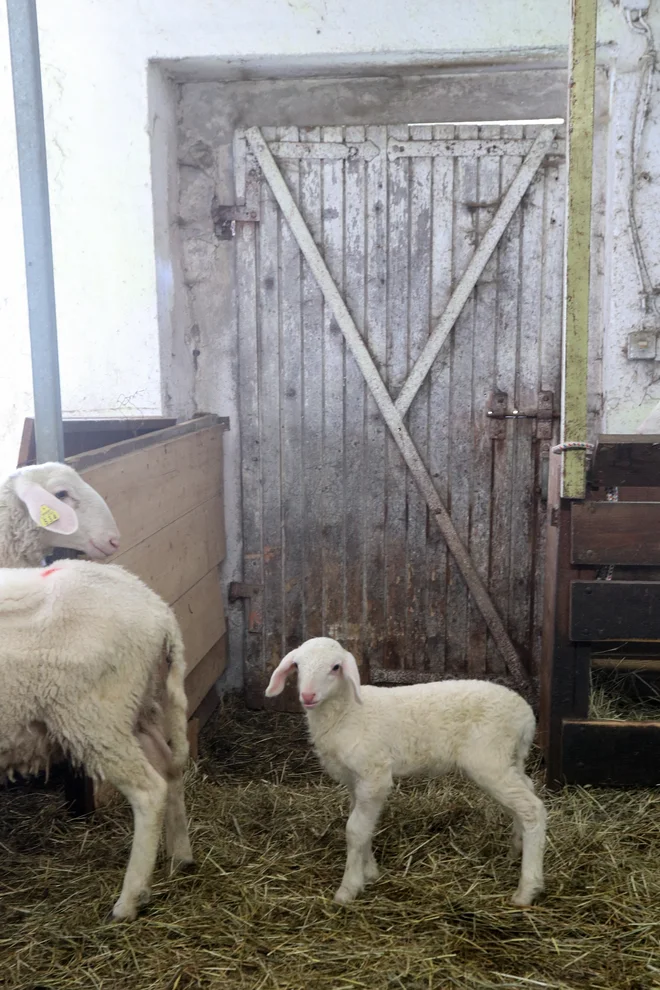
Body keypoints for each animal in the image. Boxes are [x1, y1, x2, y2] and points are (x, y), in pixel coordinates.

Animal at [0, 560, 193, 924]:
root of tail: (157, 608)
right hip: (133, 708)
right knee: (168, 768)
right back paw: (180, 856)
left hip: (93, 715)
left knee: (149, 790)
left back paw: (128, 902)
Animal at [266, 640, 544, 912]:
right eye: (297, 665)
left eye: (335, 667)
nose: (308, 696)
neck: (348, 712)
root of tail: (527, 718)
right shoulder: (356, 781)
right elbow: (363, 826)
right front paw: (370, 872)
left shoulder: (374, 774)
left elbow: (354, 830)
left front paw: (348, 888)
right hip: (509, 759)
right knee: (526, 791)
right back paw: (516, 849)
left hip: (489, 758)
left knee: (533, 808)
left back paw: (527, 889)